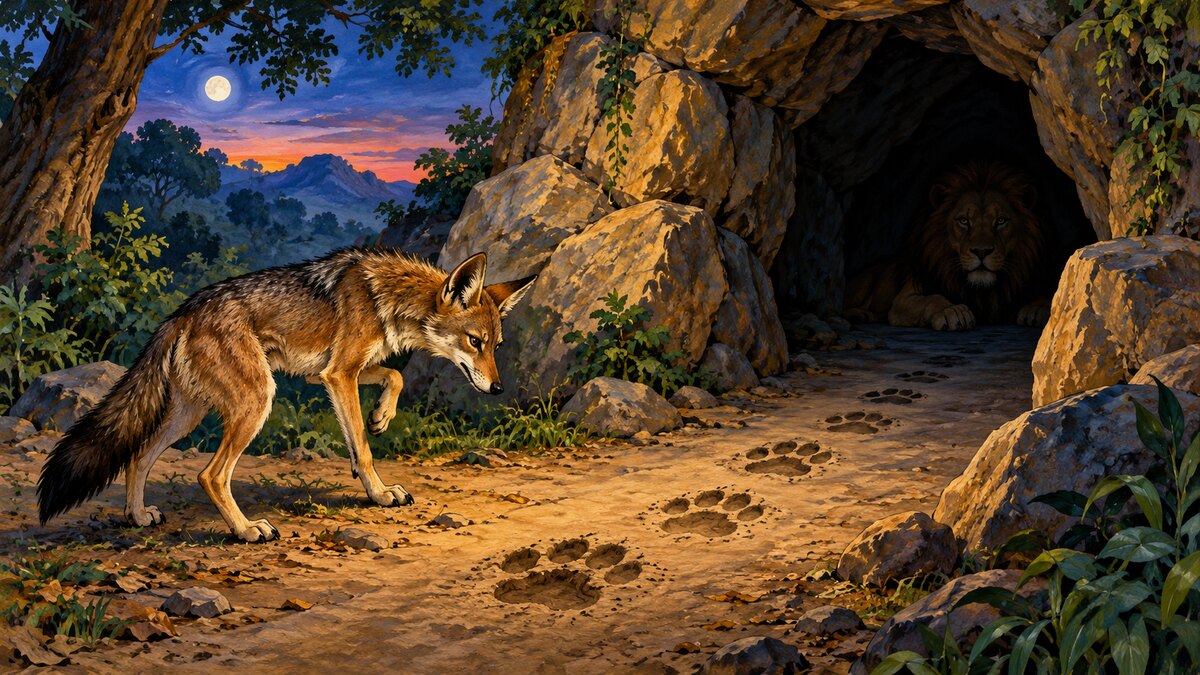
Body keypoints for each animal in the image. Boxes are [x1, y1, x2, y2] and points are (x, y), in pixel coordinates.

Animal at [844, 161, 1052, 331]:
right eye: (964, 221)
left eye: (1000, 221)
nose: (981, 251)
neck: (982, 291)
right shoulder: (904, 298)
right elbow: (933, 298)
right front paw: (953, 311)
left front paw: (1037, 309)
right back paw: (860, 314)